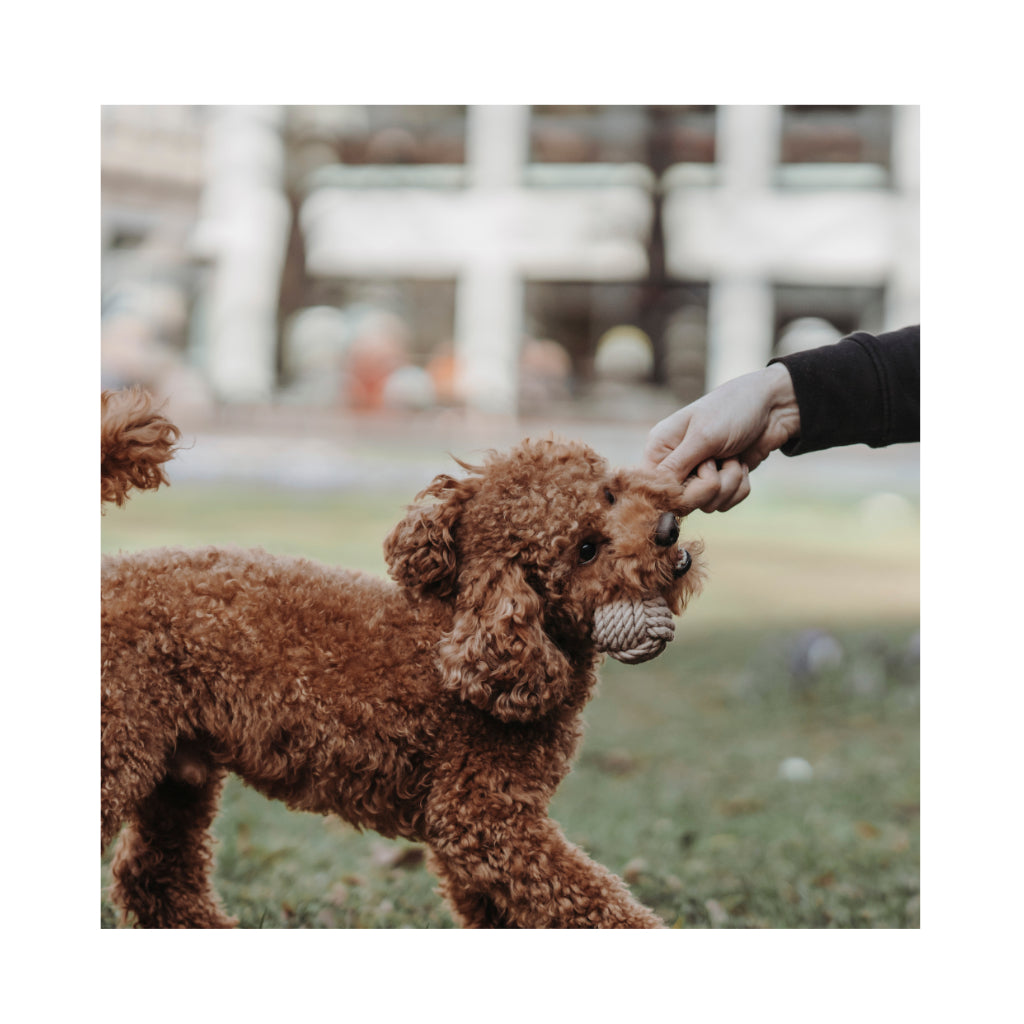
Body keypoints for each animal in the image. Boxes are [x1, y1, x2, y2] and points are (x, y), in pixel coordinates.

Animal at [99, 385, 700, 929]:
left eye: (609, 494)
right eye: (585, 550)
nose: (668, 530)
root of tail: (110, 570)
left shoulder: (465, 824)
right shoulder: (483, 816)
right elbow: (584, 898)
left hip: (178, 767)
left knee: (153, 873)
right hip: (118, 744)